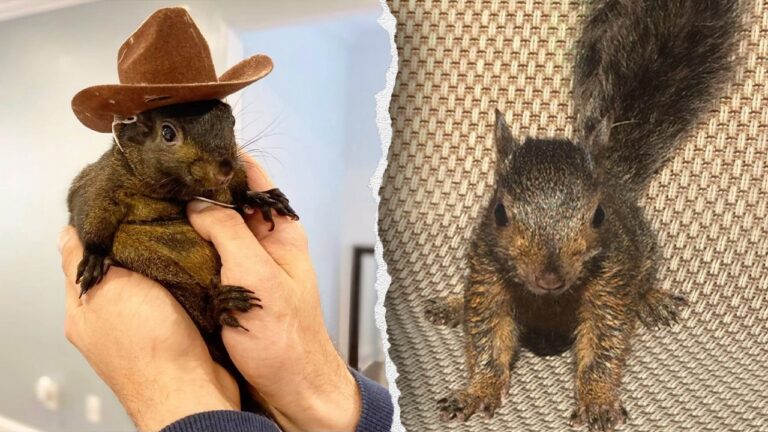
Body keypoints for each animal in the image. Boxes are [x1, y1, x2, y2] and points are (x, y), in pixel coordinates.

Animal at [67, 99, 298, 412]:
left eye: (232, 121)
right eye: (167, 133)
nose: (224, 169)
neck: (176, 191)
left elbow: (239, 191)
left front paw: (259, 198)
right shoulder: (101, 182)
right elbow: (90, 210)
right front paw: (94, 256)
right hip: (155, 267)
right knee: (204, 318)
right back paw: (218, 307)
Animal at [425, 0, 739, 430]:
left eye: (599, 215)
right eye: (500, 213)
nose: (550, 277)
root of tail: (614, 175)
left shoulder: (610, 282)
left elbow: (603, 345)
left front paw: (597, 400)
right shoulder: (487, 275)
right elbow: (487, 336)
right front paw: (477, 391)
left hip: (644, 250)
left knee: (642, 282)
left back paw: (651, 299)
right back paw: (453, 305)